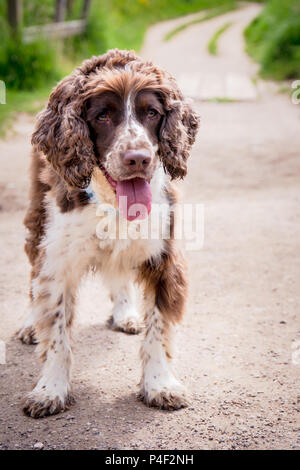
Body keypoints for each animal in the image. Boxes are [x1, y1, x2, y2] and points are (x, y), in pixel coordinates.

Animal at [17, 49, 199, 416]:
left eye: (152, 113)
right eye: (102, 115)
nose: (138, 159)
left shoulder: (164, 257)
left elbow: (158, 329)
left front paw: (160, 385)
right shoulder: (58, 261)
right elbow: (56, 332)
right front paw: (50, 390)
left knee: (120, 275)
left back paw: (125, 314)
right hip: (37, 218)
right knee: (33, 277)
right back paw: (30, 323)